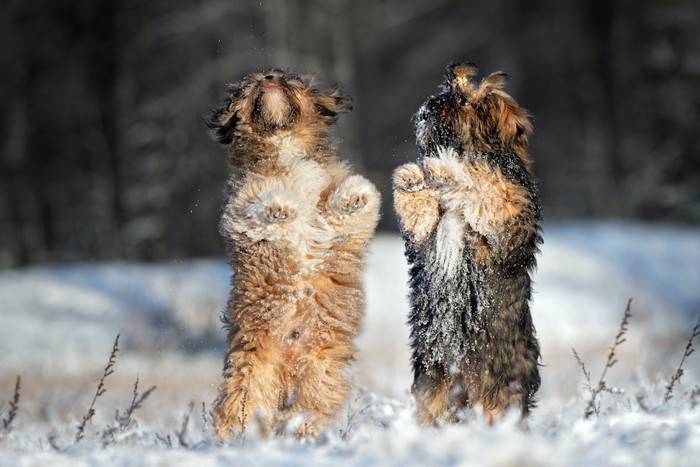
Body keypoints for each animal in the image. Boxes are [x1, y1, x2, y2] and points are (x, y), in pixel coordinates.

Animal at [205, 69, 380, 438]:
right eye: (251, 82)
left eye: (290, 79)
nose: (270, 77)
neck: (283, 145)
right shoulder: (239, 207)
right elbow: (259, 200)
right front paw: (278, 207)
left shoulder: (343, 228)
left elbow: (351, 208)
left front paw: (353, 197)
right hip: (251, 373)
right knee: (237, 410)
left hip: (323, 373)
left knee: (309, 407)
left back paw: (298, 428)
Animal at [394, 63, 540, 428]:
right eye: (448, 91)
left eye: (462, 100)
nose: (428, 106)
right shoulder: (424, 239)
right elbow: (419, 215)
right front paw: (412, 178)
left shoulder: (505, 219)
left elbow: (485, 181)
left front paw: (449, 168)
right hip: (434, 388)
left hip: (500, 396)